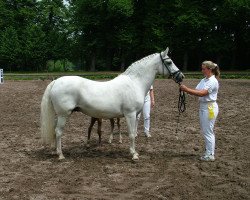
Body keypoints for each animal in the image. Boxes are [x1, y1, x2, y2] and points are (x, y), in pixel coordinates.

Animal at [39, 47, 184, 160]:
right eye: (169, 62)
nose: (181, 76)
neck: (134, 83)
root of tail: (56, 81)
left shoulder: (134, 115)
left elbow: (133, 132)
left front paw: (133, 152)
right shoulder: (130, 114)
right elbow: (132, 134)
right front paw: (134, 154)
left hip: (59, 115)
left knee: (55, 131)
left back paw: (57, 152)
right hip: (64, 114)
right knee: (58, 132)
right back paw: (61, 155)